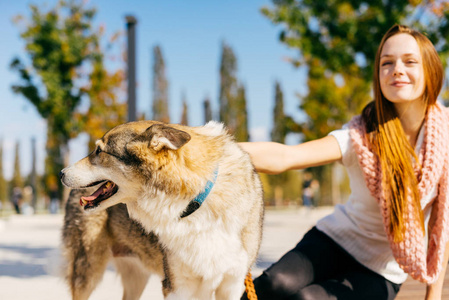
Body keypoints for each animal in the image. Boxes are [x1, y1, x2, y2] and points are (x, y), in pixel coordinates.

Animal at [59, 120, 262, 298]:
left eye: (99, 151)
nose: (61, 173)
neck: (196, 203)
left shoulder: (232, 284)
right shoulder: (177, 286)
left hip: (135, 278)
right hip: (87, 272)